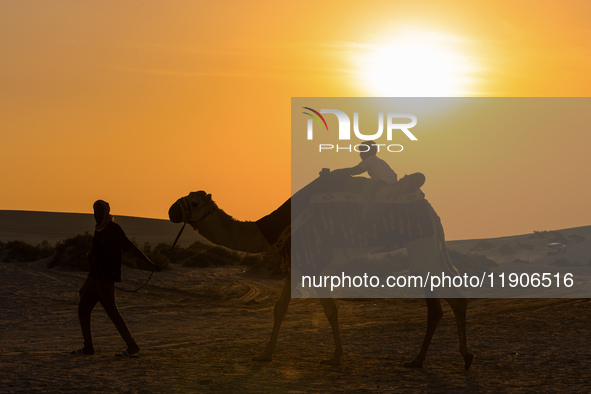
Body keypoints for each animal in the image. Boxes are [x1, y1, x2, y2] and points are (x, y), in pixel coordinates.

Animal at [169, 174, 474, 368]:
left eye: (194, 202)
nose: (172, 210)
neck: (266, 231)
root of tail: (430, 209)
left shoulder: (310, 262)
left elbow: (328, 311)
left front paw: (335, 357)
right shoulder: (295, 265)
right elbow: (281, 308)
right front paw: (265, 354)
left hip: (422, 245)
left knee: (443, 301)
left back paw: (437, 359)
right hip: (424, 246)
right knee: (448, 300)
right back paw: (439, 359)